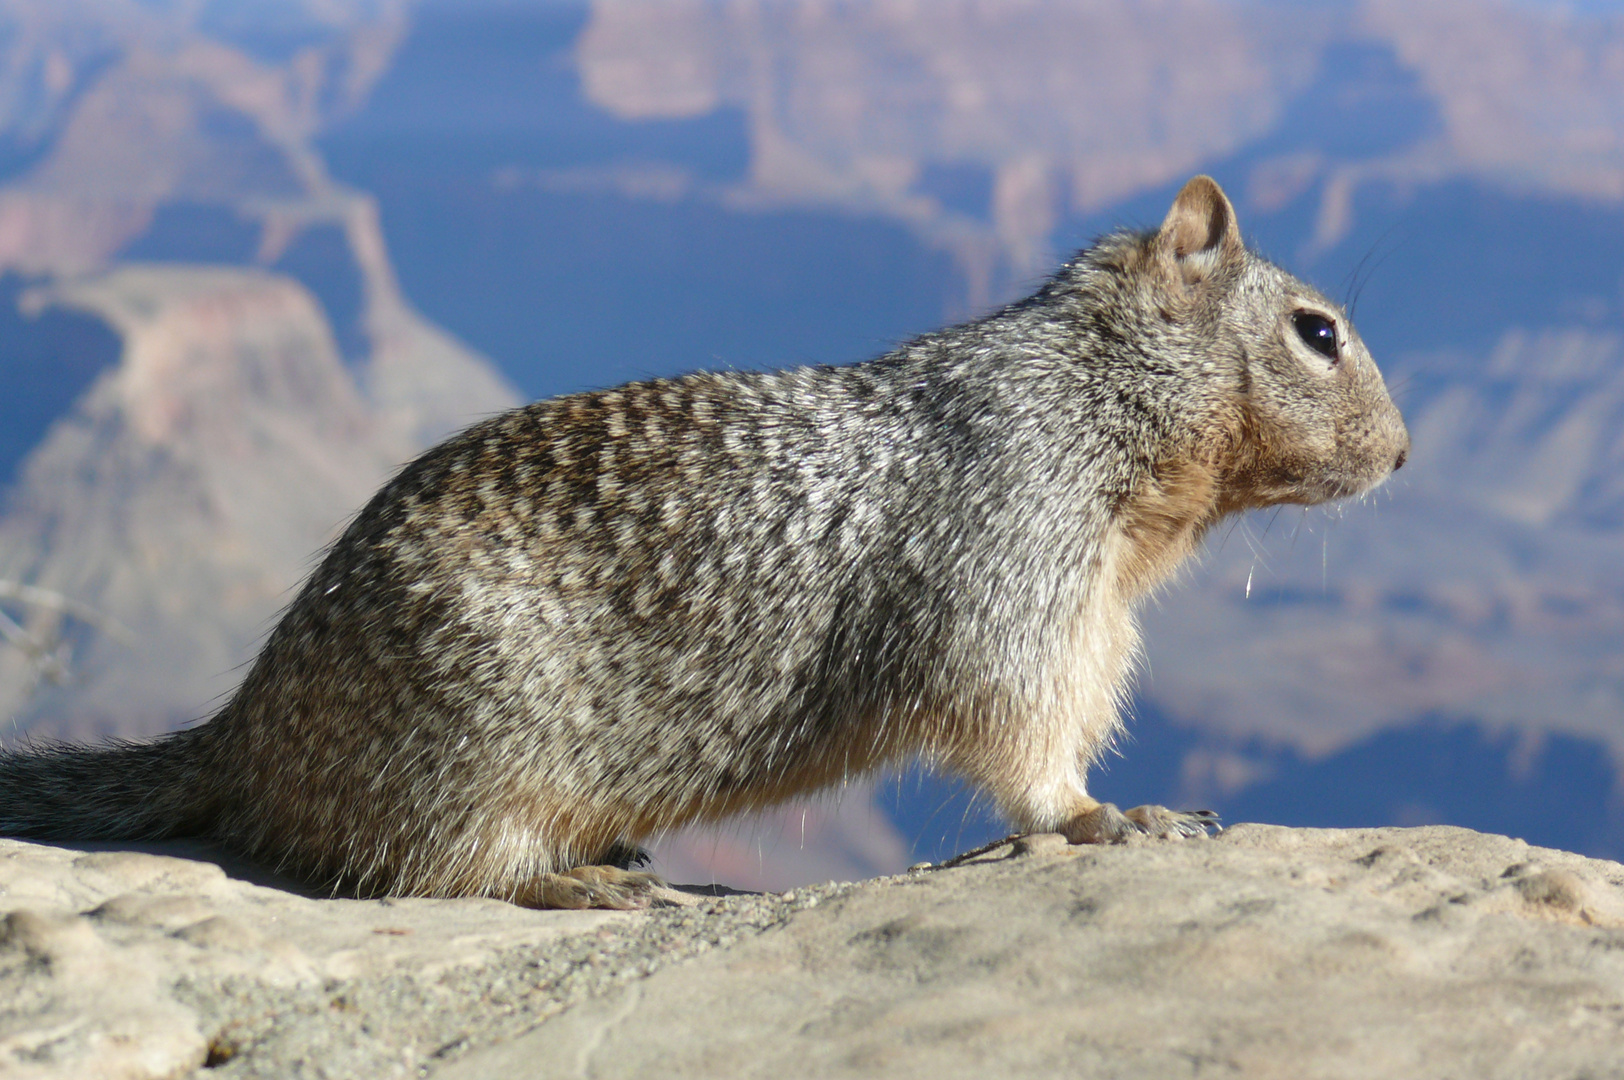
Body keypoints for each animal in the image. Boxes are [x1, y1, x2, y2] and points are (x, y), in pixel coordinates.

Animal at [0, 178, 1409, 909]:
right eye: (1318, 331)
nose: (1404, 455)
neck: (1091, 399)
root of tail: (247, 729)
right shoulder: (1016, 573)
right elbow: (1018, 730)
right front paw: (1110, 815)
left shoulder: (1089, 610)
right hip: (466, 743)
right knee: (426, 869)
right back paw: (573, 882)